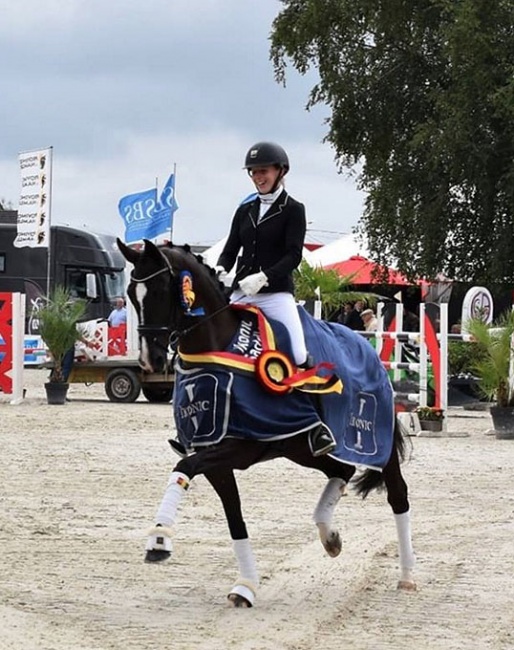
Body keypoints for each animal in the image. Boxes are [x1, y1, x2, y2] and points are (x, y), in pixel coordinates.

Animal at [118, 237, 414, 604]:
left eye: (159, 290)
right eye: (131, 293)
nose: (150, 360)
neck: (217, 347)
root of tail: (369, 348)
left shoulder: (240, 447)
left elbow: (182, 468)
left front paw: (159, 540)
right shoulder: (214, 456)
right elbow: (234, 518)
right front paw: (246, 585)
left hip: (375, 445)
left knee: (397, 494)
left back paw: (407, 576)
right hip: (302, 448)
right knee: (341, 470)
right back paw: (328, 535)